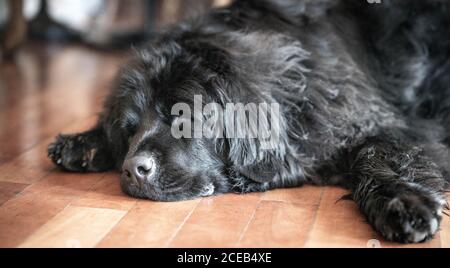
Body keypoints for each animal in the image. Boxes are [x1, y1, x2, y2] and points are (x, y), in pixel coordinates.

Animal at [48, 0, 450, 243]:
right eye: (130, 129)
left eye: (184, 115)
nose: (133, 169)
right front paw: (83, 142)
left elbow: (376, 149)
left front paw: (402, 202)